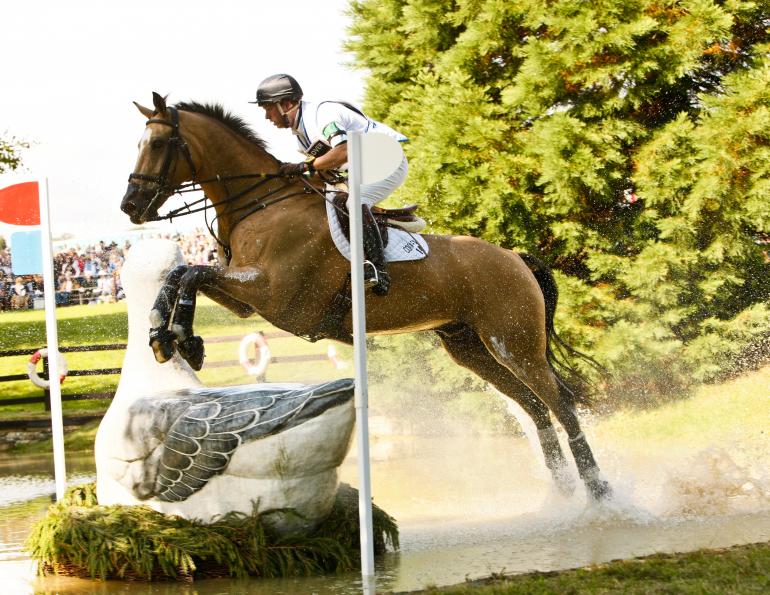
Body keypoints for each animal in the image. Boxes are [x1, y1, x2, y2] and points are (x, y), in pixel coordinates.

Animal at [121, 92, 612, 501]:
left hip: (514, 343)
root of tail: (513, 256)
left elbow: (192, 273)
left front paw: (180, 338)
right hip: (470, 347)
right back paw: (563, 495)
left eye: (159, 143)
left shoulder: (272, 294)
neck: (260, 203)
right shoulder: (244, 298)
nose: (131, 206)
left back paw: (600, 494)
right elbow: (185, 273)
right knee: (536, 410)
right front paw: (167, 337)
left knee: (561, 406)